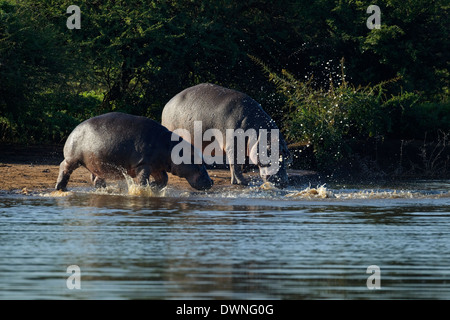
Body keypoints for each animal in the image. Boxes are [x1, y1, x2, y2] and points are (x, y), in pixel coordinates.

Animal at [54, 112, 213, 191]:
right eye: (199, 165)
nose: (211, 182)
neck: (170, 148)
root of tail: (75, 128)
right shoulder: (143, 164)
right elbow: (143, 179)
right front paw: (142, 189)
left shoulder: (156, 166)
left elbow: (164, 180)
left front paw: (153, 187)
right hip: (72, 158)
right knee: (64, 168)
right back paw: (60, 187)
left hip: (97, 164)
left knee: (97, 178)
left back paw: (105, 189)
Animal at [162, 83, 292, 188]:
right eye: (271, 152)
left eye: (285, 155)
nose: (284, 182)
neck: (259, 133)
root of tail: (168, 103)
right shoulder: (233, 145)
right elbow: (235, 164)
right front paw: (242, 182)